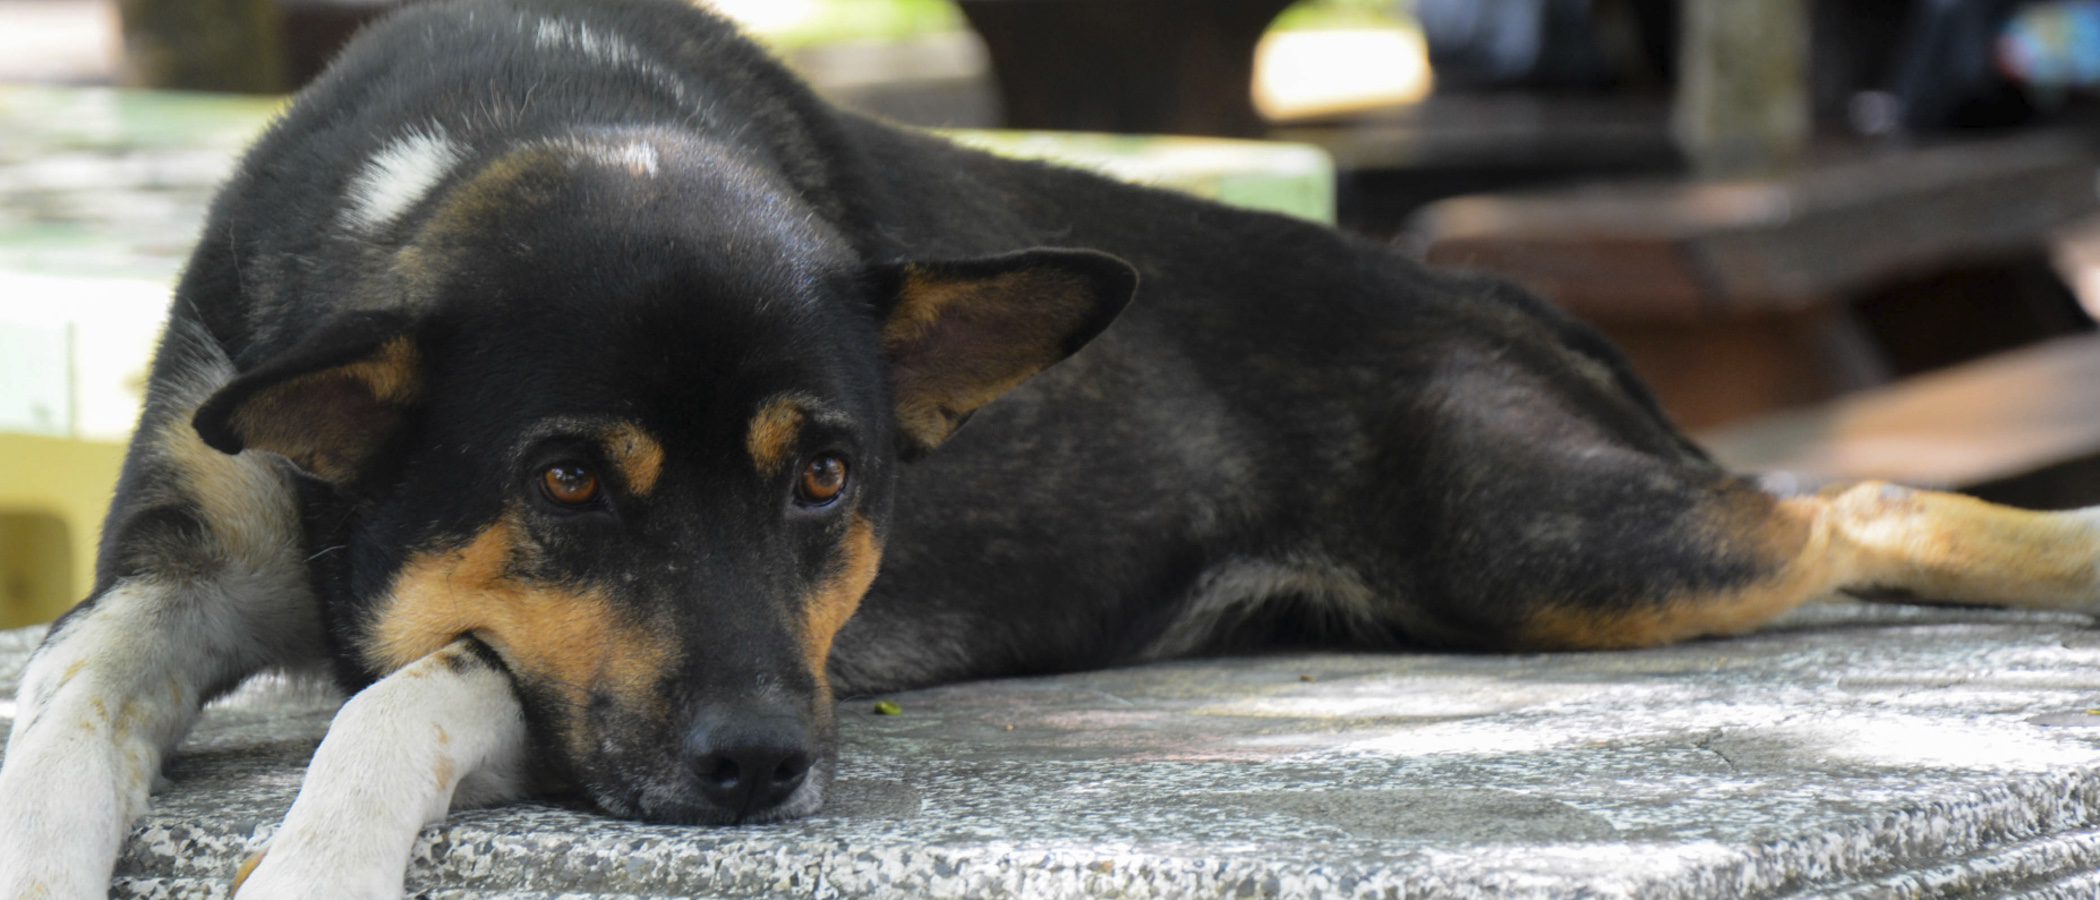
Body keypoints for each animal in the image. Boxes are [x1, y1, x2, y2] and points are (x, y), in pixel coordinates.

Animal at [4, 0, 2100, 889]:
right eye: (568, 482)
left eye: (828, 478)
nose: (766, 770)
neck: (508, 127)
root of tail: (1464, 286)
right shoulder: (180, 563)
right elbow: (73, 697)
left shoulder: (569, 689)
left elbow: (397, 695)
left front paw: (316, 864)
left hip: (1553, 548)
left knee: (1850, 499)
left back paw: (2066, 560)